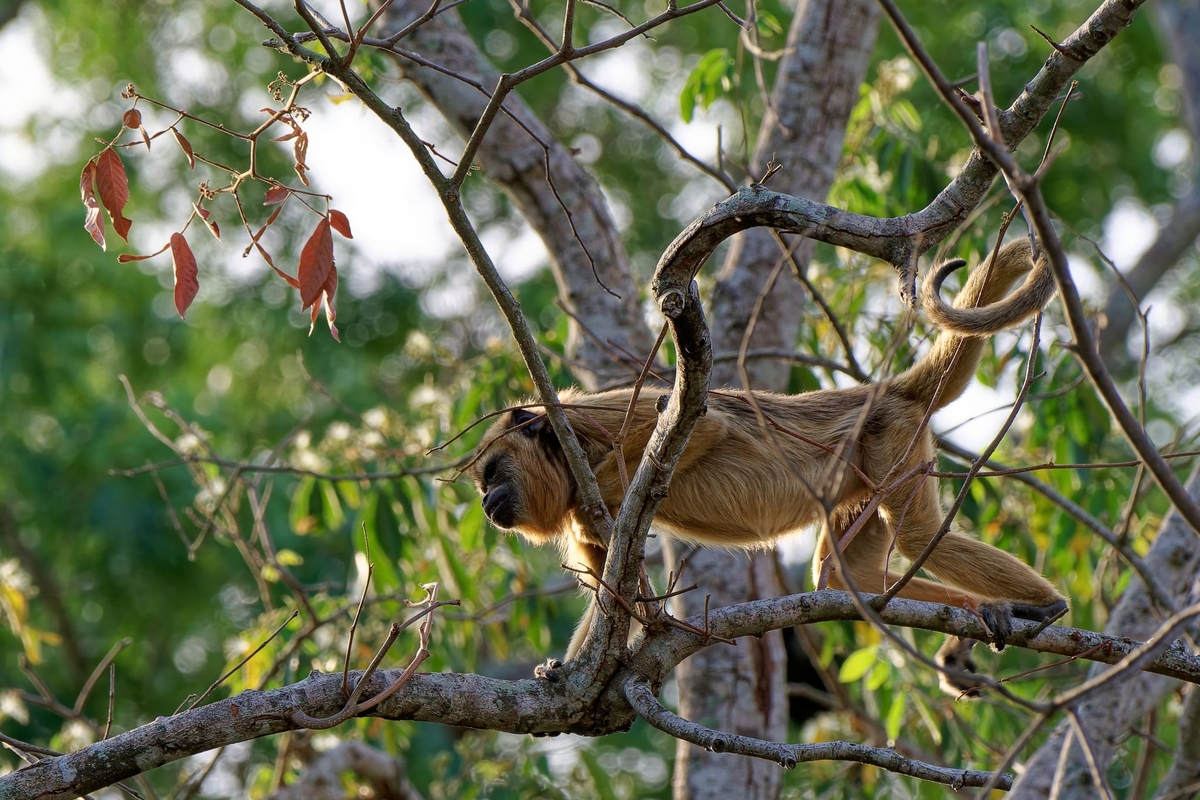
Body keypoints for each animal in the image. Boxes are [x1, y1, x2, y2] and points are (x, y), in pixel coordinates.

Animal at [468, 239, 1070, 695]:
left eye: (492, 472)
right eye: (482, 484)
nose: (485, 502)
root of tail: (882, 392)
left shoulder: (593, 423)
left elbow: (703, 426)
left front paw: (621, 504)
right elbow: (611, 598)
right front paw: (571, 670)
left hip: (890, 438)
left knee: (920, 535)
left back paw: (1045, 605)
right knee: (846, 578)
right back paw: (980, 608)